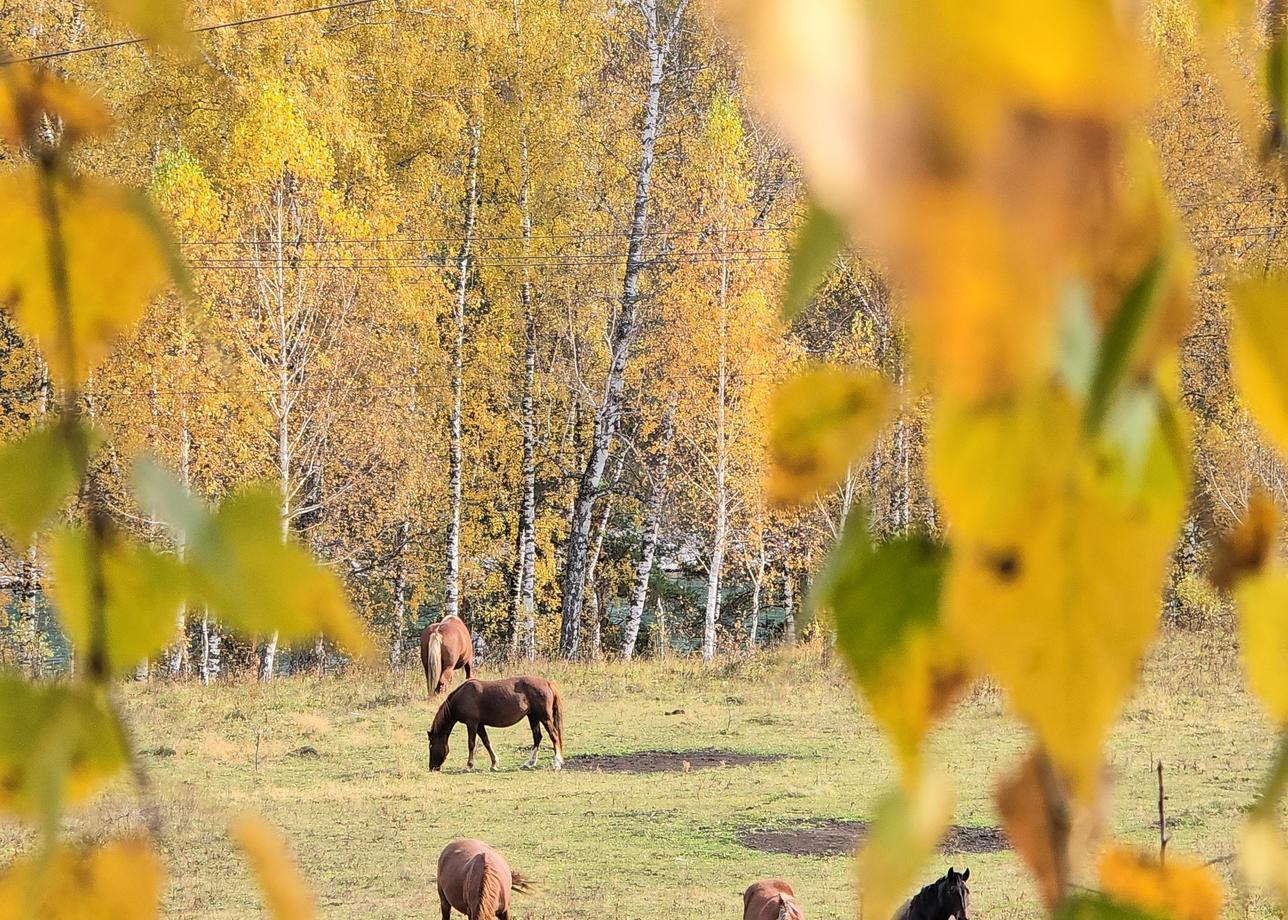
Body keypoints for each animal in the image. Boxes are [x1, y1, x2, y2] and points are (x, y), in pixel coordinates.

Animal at [427, 675, 564, 767]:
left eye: (431, 746)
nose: (432, 768)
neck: (462, 696)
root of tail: (547, 683)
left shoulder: (472, 723)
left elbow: (471, 744)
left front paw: (469, 765)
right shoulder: (479, 725)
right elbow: (486, 742)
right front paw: (494, 763)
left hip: (544, 718)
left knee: (554, 735)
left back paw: (557, 762)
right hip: (533, 717)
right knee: (537, 737)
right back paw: (530, 762)